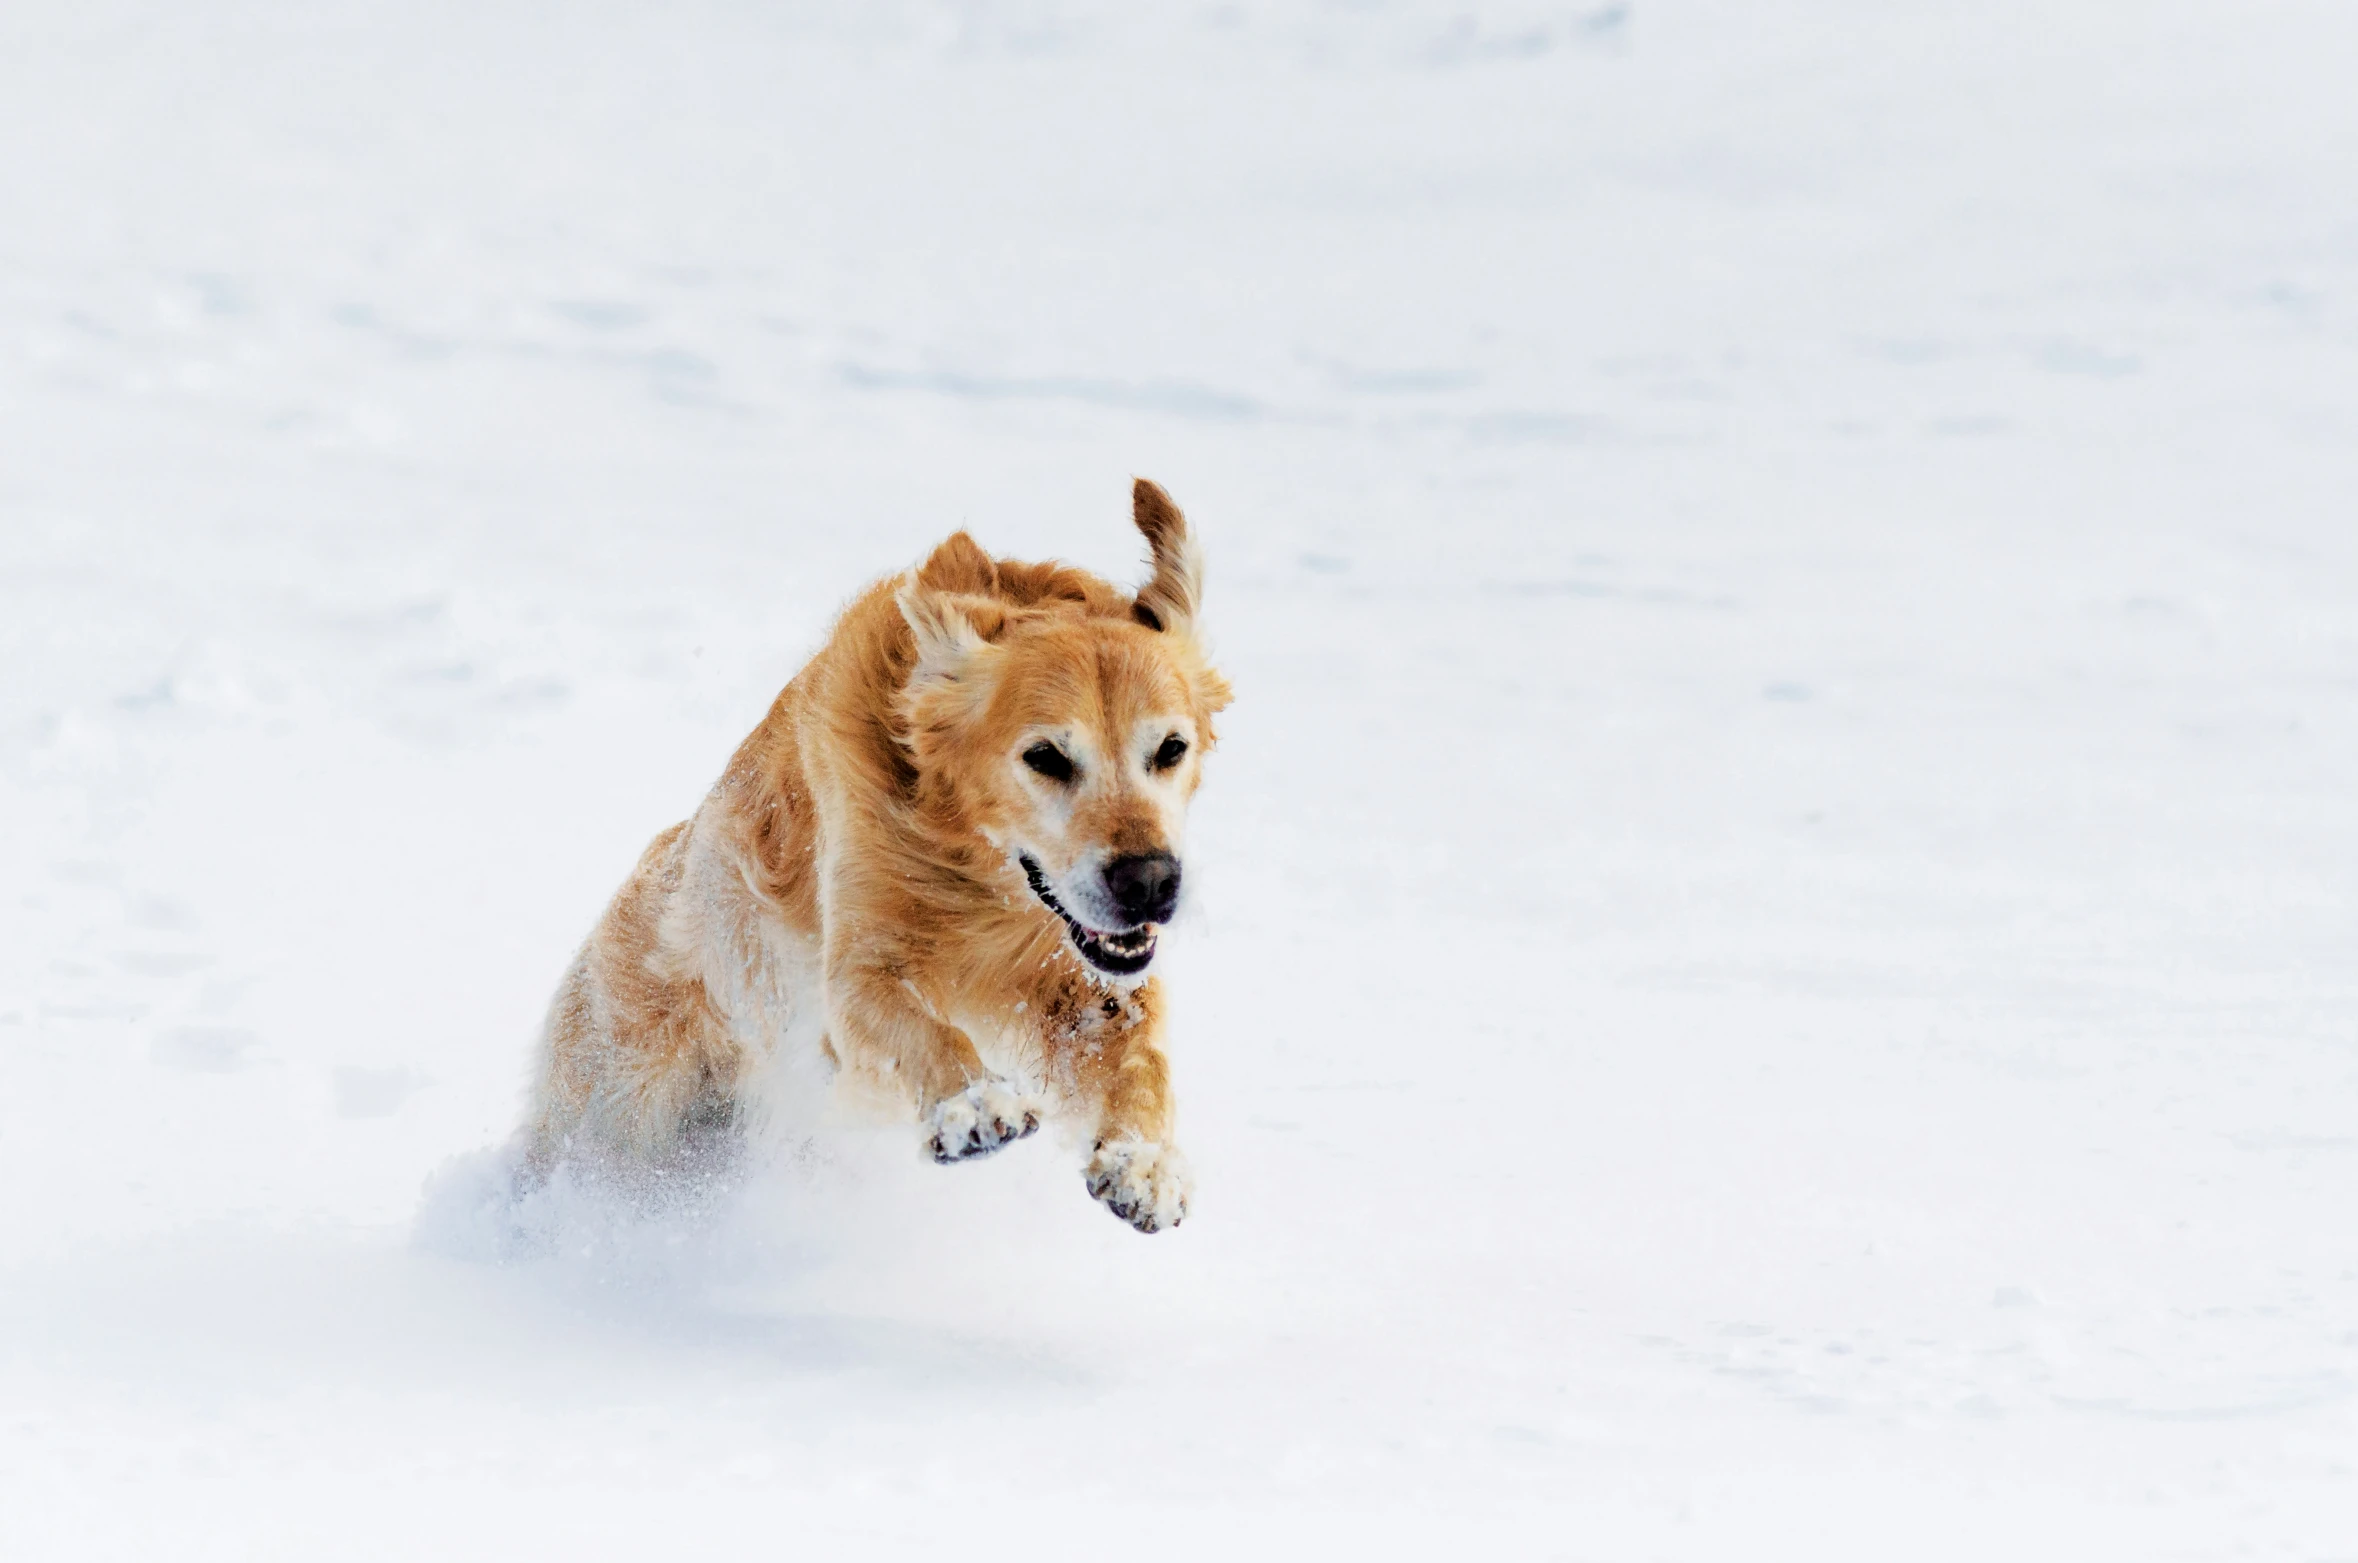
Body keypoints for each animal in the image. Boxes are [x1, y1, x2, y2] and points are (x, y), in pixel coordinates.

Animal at [518, 476, 1235, 1235]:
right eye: (1044, 756)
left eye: (1171, 749)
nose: (1151, 882)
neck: (977, 879)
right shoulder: (852, 972)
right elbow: (917, 1025)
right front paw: (973, 1103)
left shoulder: (1090, 980)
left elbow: (1142, 1055)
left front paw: (1146, 1161)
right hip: (617, 1106)